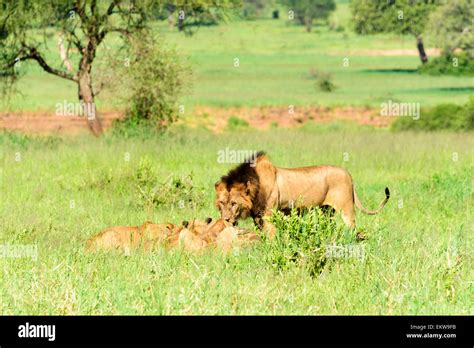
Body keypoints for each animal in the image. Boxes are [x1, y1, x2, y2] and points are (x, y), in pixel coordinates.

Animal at [215, 152, 388, 237]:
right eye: (222, 203)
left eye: (234, 203)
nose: (226, 219)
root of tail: (348, 174)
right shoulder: (257, 217)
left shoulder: (270, 215)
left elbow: (271, 236)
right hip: (327, 211)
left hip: (346, 209)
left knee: (352, 227)